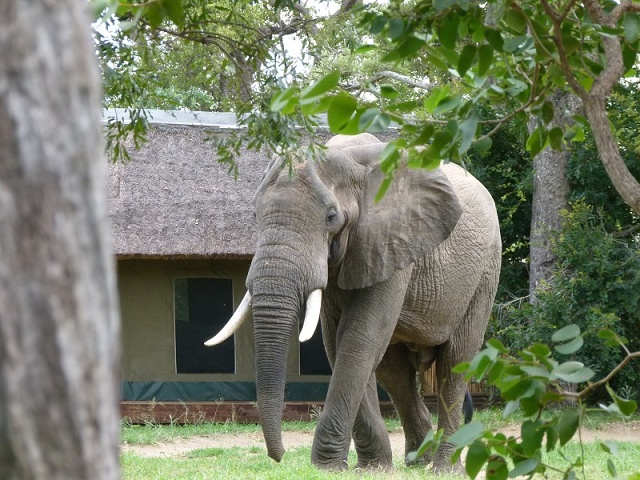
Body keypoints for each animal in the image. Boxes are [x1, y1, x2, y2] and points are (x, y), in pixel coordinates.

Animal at [208, 133, 502, 470]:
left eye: (331, 217)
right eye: (255, 215)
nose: (278, 457)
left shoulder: (389, 242)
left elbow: (359, 338)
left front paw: (326, 466)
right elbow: (339, 343)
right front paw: (371, 468)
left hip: (485, 272)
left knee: (455, 362)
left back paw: (443, 468)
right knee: (394, 372)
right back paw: (417, 461)